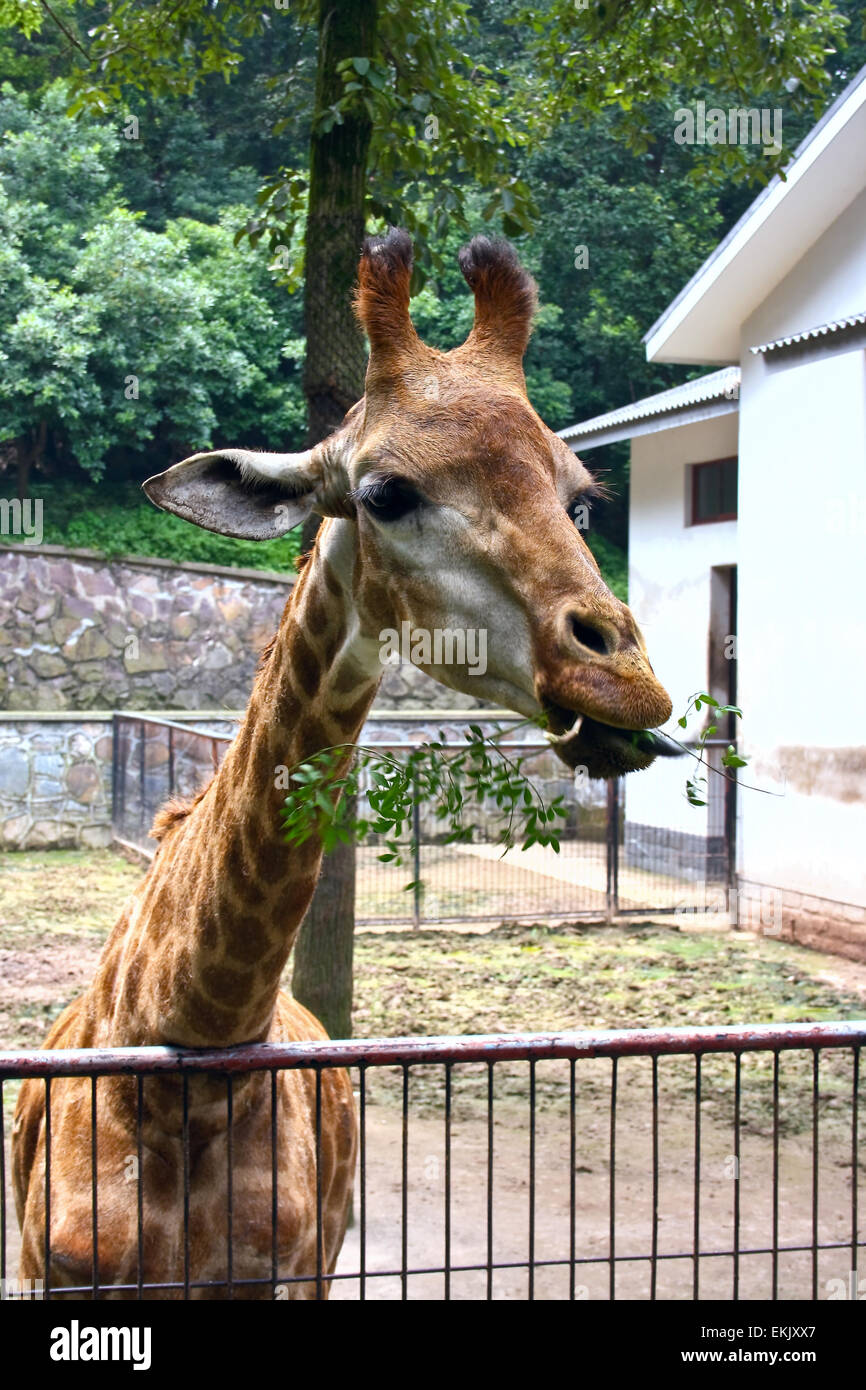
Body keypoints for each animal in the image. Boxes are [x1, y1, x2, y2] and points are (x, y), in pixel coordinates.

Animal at [15, 222, 678, 1295]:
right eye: (384, 493)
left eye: (581, 502)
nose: (627, 685)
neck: (192, 1048)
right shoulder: (51, 1270)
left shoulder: (296, 1268)